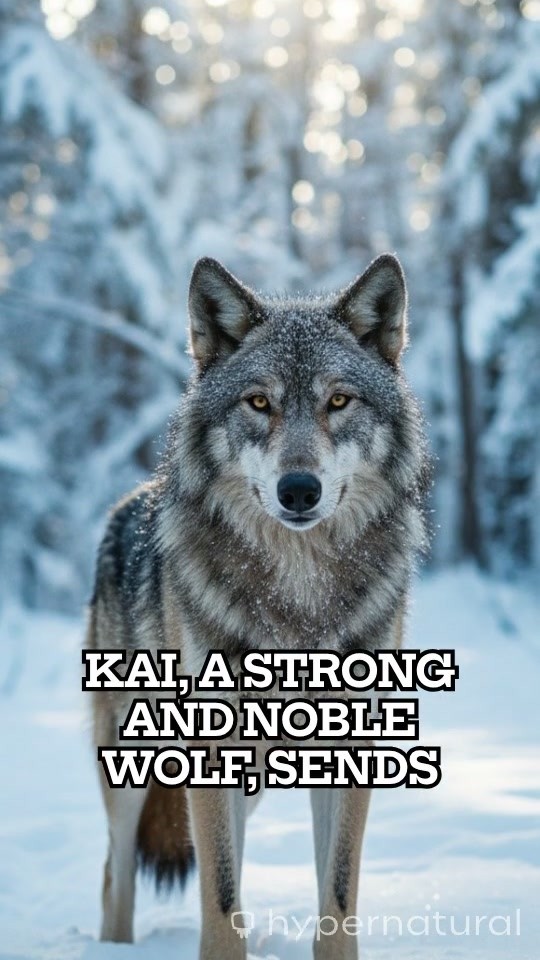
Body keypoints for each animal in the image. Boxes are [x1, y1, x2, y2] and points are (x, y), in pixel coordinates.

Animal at [87, 254, 429, 959]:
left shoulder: (350, 751)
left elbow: (337, 895)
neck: (295, 596)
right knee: (116, 872)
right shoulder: (208, 753)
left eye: (337, 400)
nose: (299, 490)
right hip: (131, 763)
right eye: (259, 402)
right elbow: (220, 899)